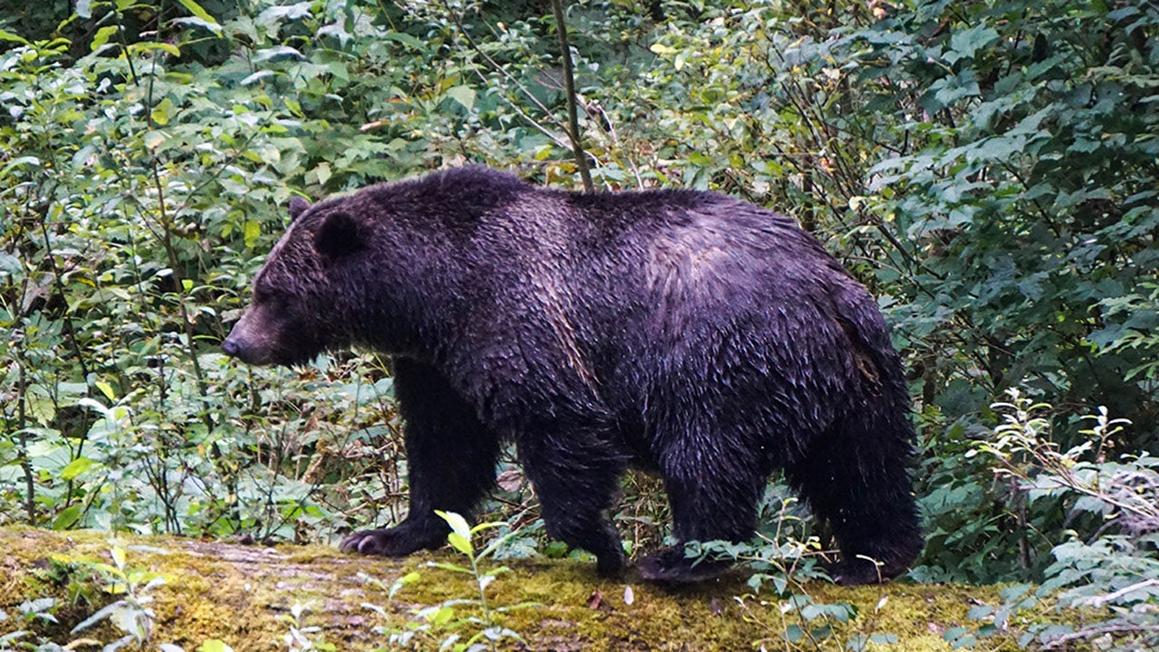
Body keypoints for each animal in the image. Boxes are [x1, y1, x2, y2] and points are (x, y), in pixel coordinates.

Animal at [222, 166, 922, 585]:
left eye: (274, 293)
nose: (236, 342)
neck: (432, 294)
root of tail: (829, 288)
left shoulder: (518, 318)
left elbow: (560, 424)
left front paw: (601, 544)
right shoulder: (435, 365)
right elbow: (445, 451)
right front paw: (386, 534)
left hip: (718, 359)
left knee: (708, 458)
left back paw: (677, 558)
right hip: (859, 383)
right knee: (866, 469)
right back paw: (872, 559)